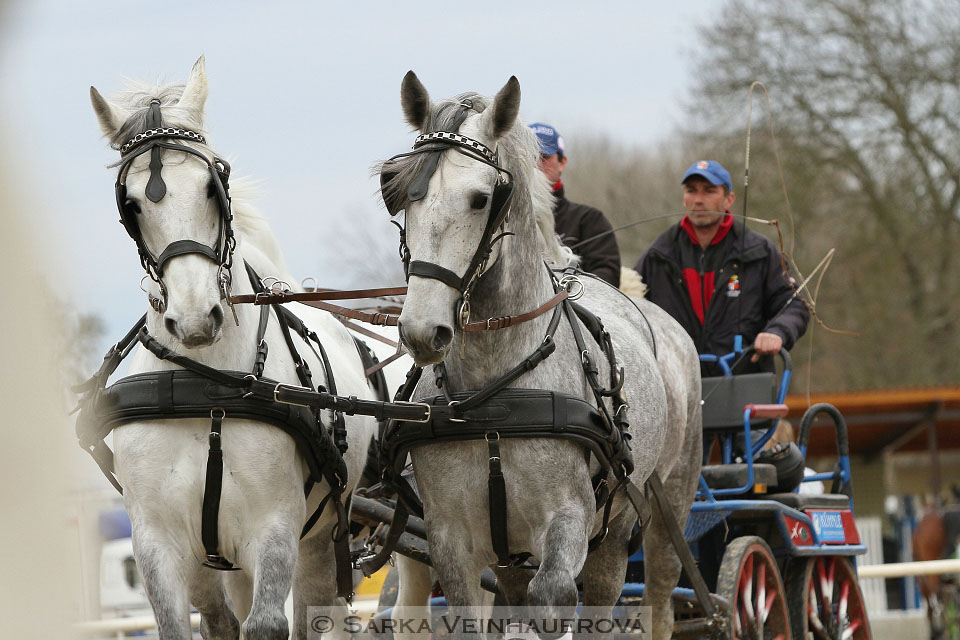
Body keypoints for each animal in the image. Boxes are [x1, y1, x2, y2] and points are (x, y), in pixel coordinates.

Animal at [87, 57, 378, 636]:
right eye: (130, 204)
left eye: (211, 184)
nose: (196, 317)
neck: (205, 387)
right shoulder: (156, 540)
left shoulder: (275, 529)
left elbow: (266, 625)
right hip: (216, 559)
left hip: (318, 541)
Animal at [378, 72, 700, 636]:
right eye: (398, 193)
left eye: (481, 198)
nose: (421, 331)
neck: (493, 395)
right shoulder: (451, 538)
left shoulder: (568, 519)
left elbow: (551, 599)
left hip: (653, 509)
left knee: (648, 593)